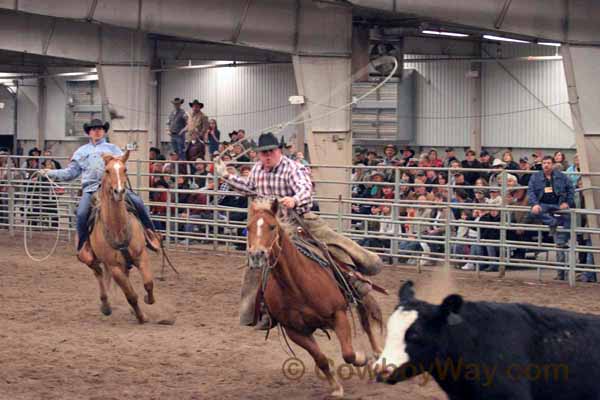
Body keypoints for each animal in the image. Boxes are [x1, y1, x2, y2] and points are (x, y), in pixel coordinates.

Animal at [88, 152, 157, 324]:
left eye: (125, 169)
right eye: (107, 170)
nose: (119, 191)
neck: (118, 229)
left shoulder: (141, 256)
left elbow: (148, 283)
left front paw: (148, 299)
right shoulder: (114, 267)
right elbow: (131, 296)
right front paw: (142, 317)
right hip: (94, 260)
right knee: (98, 273)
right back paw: (106, 306)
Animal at [247, 199, 384, 396]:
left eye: (272, 226)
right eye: (248, 227)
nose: (257, 255)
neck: (295, 285)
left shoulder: (338, 314)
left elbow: (348, 353)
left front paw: (362, 358)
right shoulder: (295, 331)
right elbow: (321, 359)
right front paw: (336, 387)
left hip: (358, 294)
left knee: (366, 323)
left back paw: (379, 355)